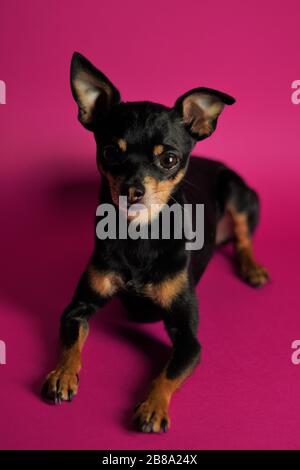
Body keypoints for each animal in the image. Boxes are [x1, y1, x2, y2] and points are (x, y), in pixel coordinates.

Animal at [41, 52, 268, 434]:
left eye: (169, 159)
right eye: (109, 152)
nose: (132, 189)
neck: (140, 236)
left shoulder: (188, 339)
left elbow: (168, 373)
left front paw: (152, 406)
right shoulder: (77, 308)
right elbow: (70, 344)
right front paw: (62, 374)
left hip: (238, 193)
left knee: (243, 237)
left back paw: (252, 268)